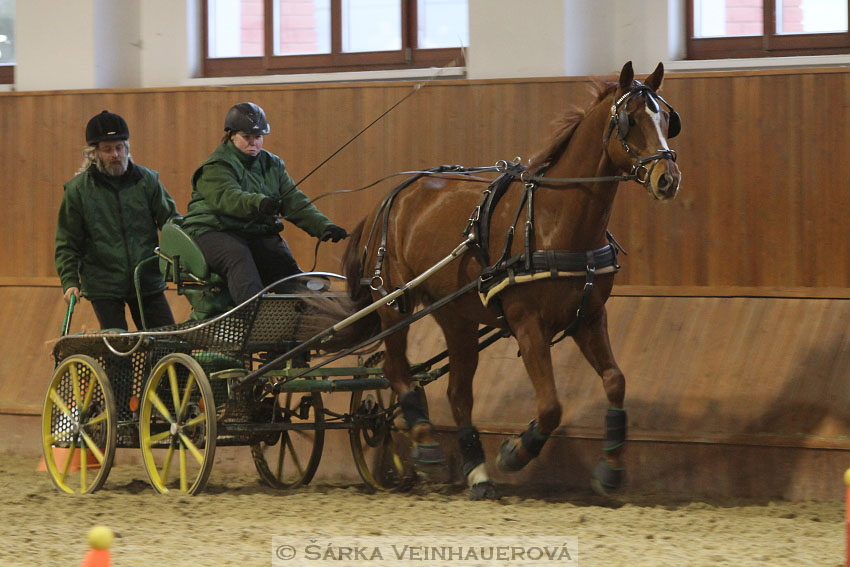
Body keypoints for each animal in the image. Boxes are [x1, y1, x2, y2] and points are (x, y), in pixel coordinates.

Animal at [342, 60, 680, 500]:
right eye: (631, 120)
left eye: (666, 118)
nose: (667, 178)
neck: (555, 220)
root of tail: (390, 198)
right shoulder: (527, 323)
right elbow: (551, 406)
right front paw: (516, 451)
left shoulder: (589, 317)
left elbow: (615, 381)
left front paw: (610, 470)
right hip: (395, 305)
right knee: (396, 369)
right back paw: (426, 442)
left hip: (457, 316)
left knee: (458, 393)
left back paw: (477, 473)